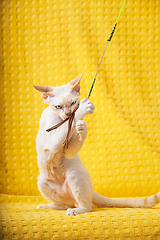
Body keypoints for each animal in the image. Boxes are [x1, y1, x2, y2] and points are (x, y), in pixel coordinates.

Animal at [33, 73, 160, 216]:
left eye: (73, 103)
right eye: (58, 106)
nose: (68, 113)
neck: (63, 120)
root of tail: (92, 191)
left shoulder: (68, 150)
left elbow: (74, 139)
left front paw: (82, 128)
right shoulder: (53, 140)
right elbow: (62, 131)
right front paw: (81, 113)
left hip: (73, 174)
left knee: (86, 206)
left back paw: (73, 210)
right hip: (41, 182)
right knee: (68, 204)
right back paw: (49, 206)